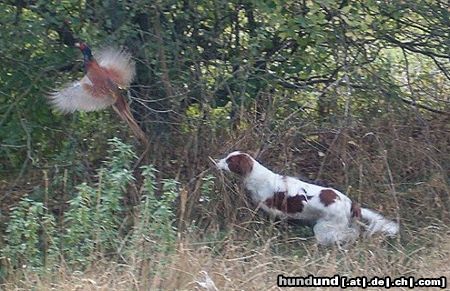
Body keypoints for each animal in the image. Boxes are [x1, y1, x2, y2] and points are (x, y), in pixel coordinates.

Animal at [216, 152, 400, 245]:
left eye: (229, 160)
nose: (216, 161)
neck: (256, 176)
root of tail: (350, 204)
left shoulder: (274, 211)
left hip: (324, 228)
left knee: (350, 234)